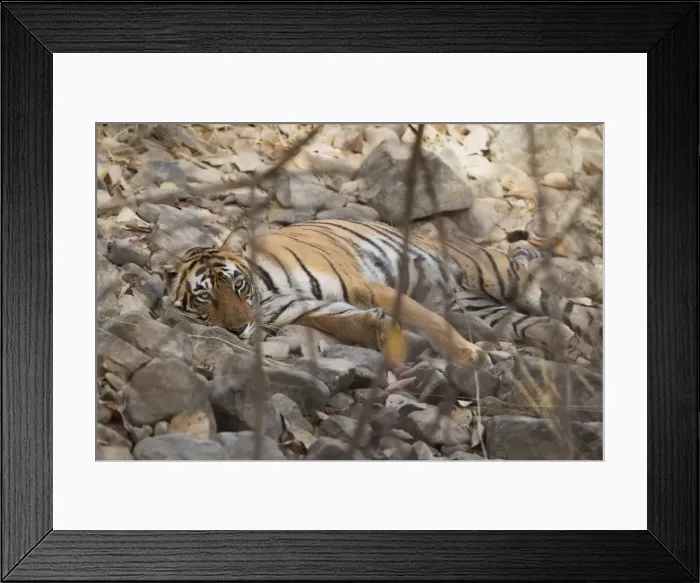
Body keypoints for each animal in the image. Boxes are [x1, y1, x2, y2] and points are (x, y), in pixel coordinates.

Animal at [162, 219, 602, 367]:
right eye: (204, 297)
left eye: (236, 284)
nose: (237, 330)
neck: (266, 294)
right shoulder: (310, 308)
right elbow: (350, 324)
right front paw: (383, 334)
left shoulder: (366, 286)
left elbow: (429, 321)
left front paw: (467, 356)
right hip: (484, 307)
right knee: (526, 322)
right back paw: (560, 338)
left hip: (504, 275)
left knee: (568, 305)